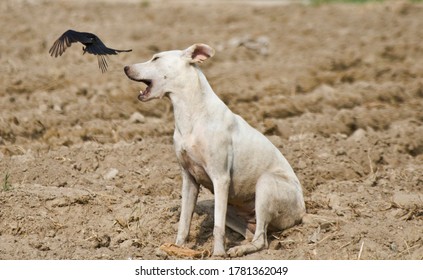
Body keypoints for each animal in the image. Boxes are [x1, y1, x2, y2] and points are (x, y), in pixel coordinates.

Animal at [124, 43, 306, 256]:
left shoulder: (221, 178)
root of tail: (302, 212)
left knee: (261, 240)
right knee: (251, 234)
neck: (191, 113)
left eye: (156, 58)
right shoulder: (189, 179)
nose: (125, 67)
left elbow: (217, 227)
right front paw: (176, 248)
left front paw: (218, 254)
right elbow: (184, 222)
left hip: (266, 184)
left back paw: (238, 250)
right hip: (226, 207)